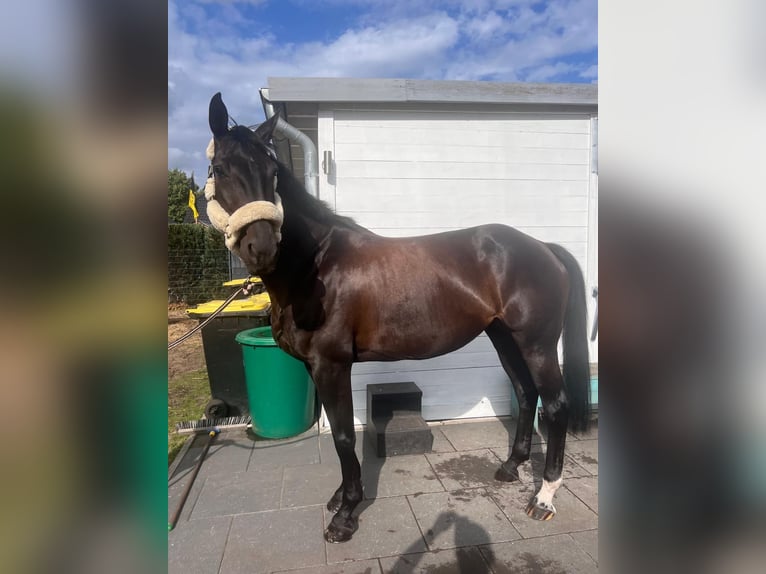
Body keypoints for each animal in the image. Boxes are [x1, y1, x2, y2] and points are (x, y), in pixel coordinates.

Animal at [205, 92, 591, 543]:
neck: (315, 267)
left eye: (271, 172)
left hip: (537, 344)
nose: (261, 246)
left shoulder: (331, 365)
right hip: (504, 337)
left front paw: (345, 514)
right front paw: (340, 498)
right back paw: (511, 467)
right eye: (219, 169)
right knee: (526, 393)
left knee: (556, 404)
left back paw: (544, 497)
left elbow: (342, 437)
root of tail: (544, 247)